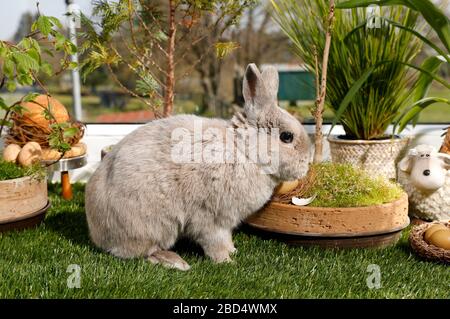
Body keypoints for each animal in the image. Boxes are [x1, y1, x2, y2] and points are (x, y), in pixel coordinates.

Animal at [85, 63, 310, 272]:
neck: (245, 152)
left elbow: (227, 239)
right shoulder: (211, 219)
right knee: (143, 252)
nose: (306, 165)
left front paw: (233, 251)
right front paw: (227, 261)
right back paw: (175, 262)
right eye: (286, 137)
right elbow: (215, 242)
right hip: (151, 226)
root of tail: (98, 234)